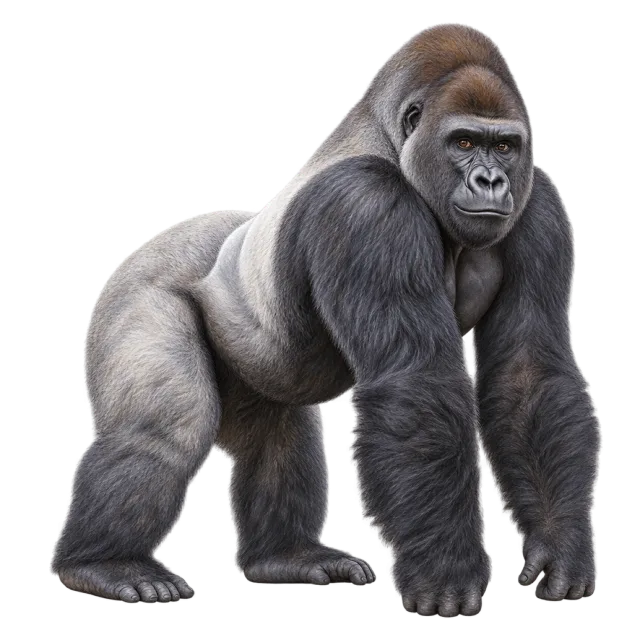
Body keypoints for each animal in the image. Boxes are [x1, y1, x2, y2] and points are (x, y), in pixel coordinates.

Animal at [54, 24, 598, 616]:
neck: (393, 143)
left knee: (281, 430)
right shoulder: (366, 205)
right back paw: (102, 565)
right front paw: (446, 567)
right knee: (169, 422)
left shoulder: (538, 206)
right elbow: (415, 382)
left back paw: (284, 556)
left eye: (503, 146)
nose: (491, 181)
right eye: (462, 143)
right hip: (134, 288)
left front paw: (560, 547)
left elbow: (530, 372)